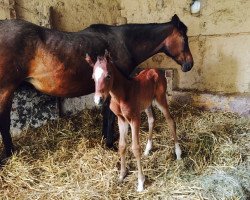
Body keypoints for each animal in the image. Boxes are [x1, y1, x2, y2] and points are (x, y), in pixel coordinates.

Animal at [85, 52, 181, 191]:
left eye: (108, 76)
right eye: (93, 78)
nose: (98, 100)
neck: (121, 95)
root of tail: (156, 70)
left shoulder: (134, 119)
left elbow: (135, 148)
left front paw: (140, 182)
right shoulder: (121, 119)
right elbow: (122, 146)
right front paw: (122, 175)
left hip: (160, 100)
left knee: (170, 121)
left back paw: (178, 153)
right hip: (147, 104)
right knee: (152, 119)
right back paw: (148, 149)